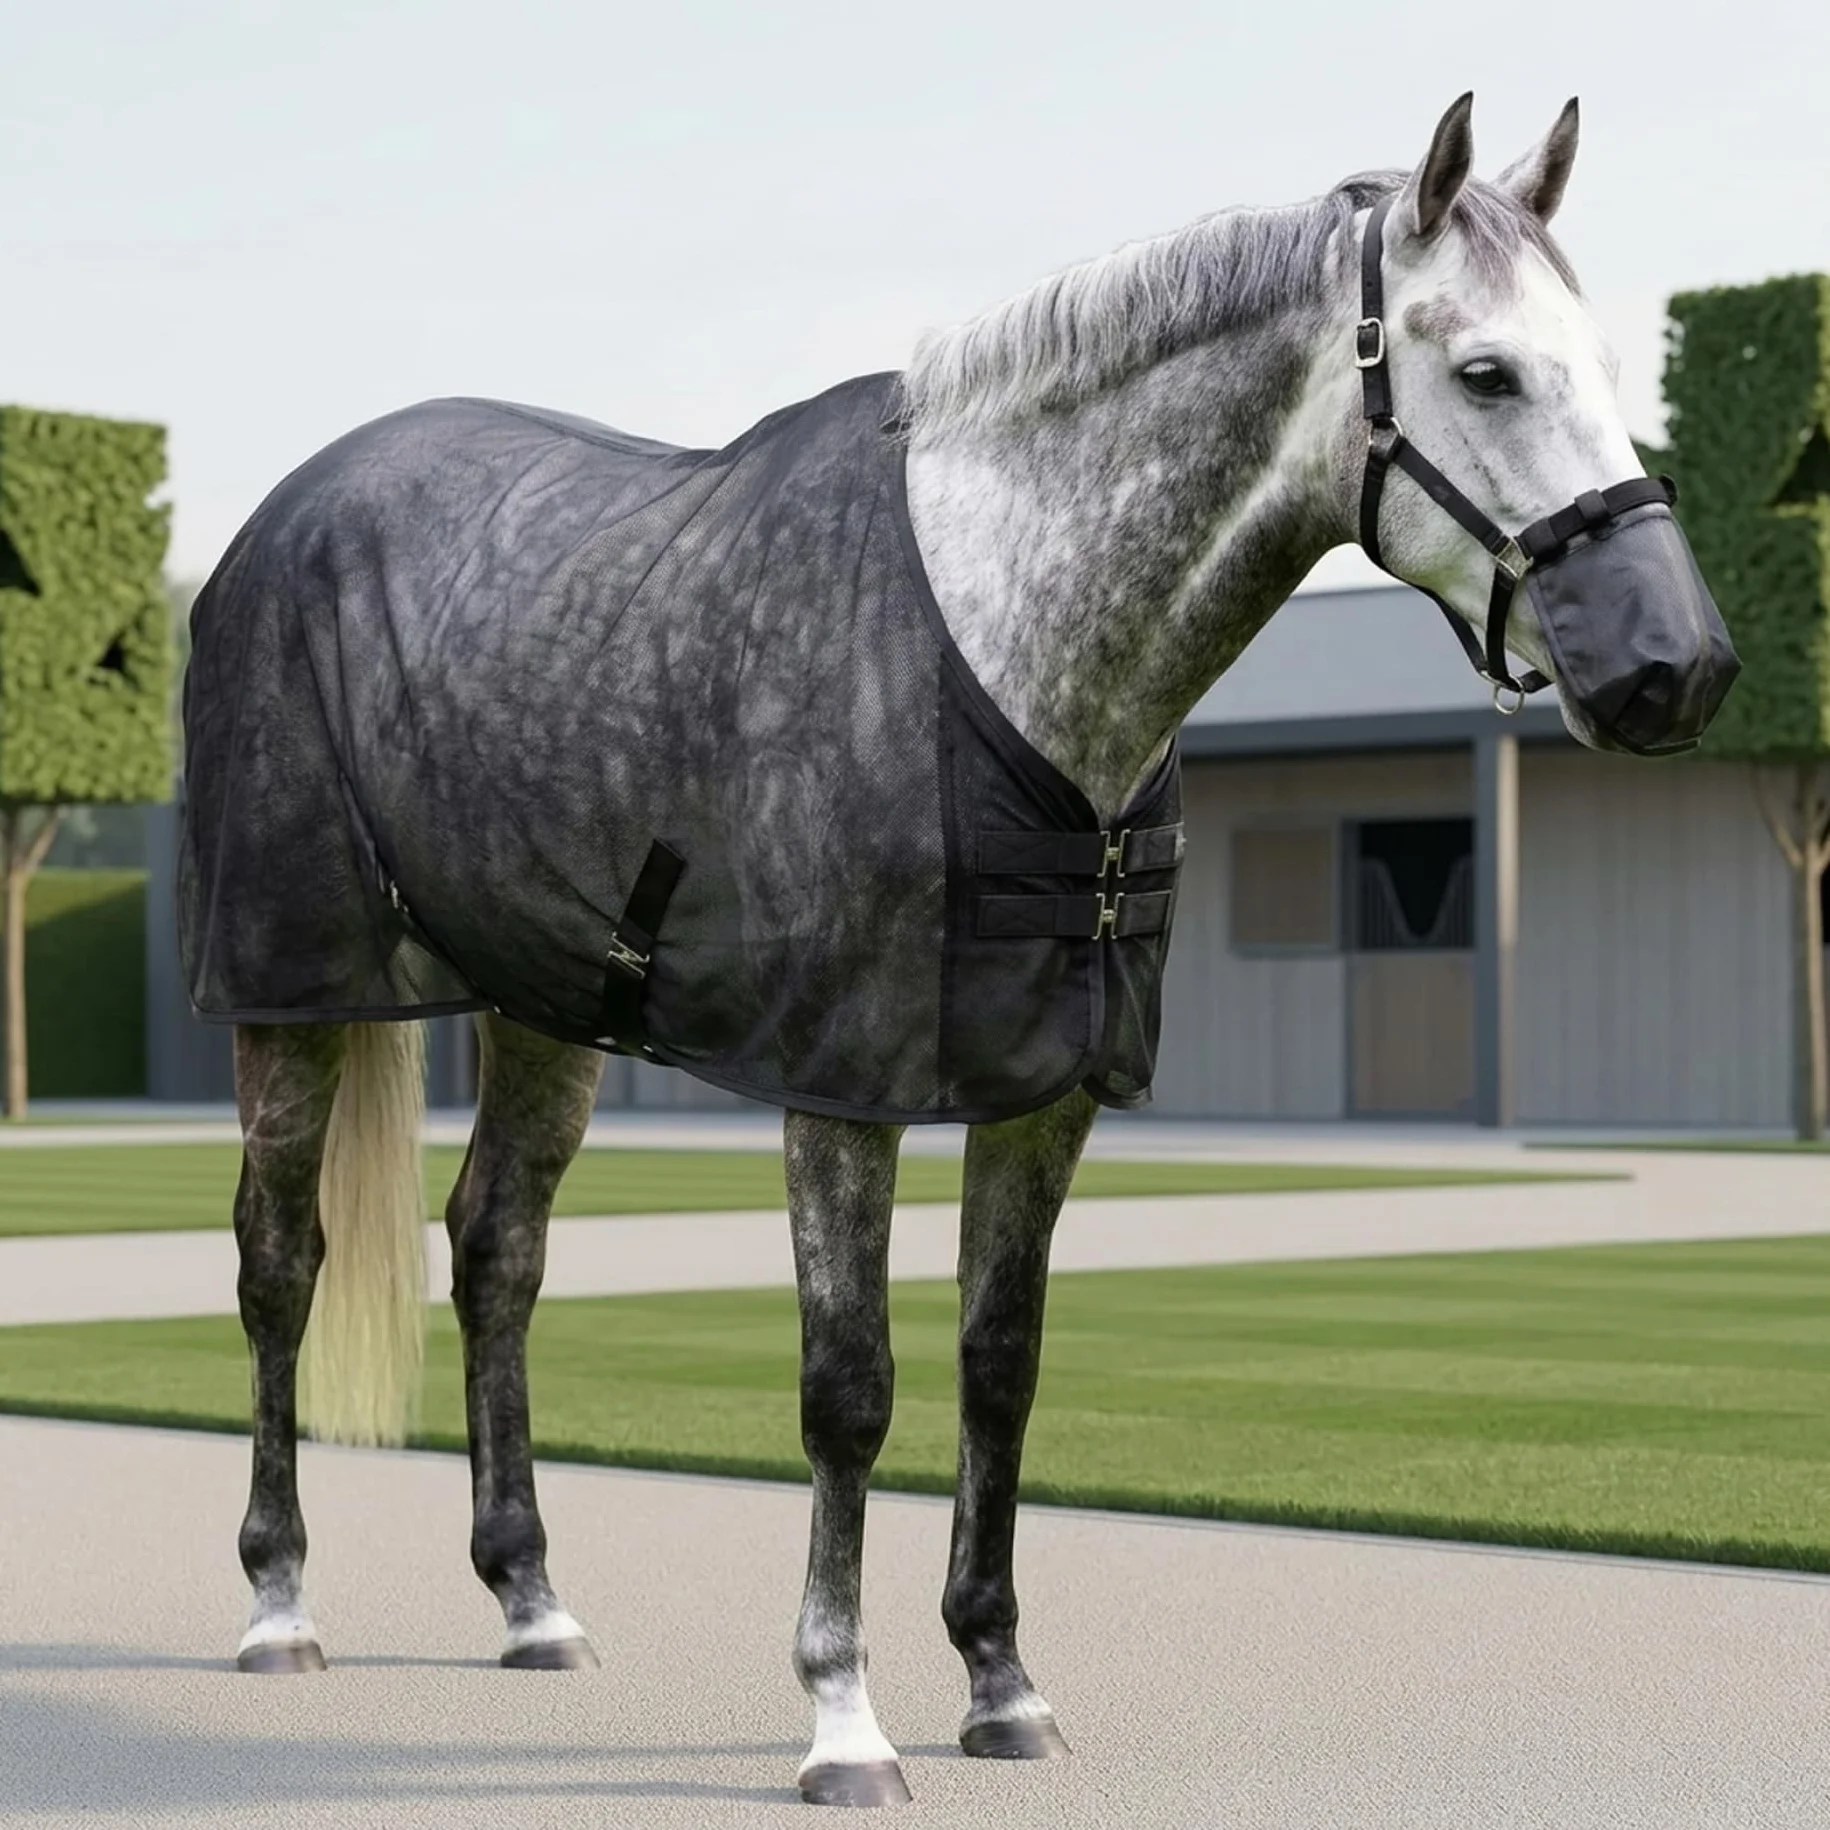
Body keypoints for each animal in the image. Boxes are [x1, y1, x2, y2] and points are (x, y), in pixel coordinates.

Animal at [179, 93, 1737, 1808]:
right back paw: (277, 1602)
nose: (1676, 665)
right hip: (288, 989)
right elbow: (848, 1389)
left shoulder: (1047, 1088)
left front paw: (999, 1684)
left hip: (544, 1005)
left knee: (495, 1250)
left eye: (1603, 360)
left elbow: (1001, 1364)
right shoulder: (841, 1087)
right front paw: (843, 1720)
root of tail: (290, 508)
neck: (1003, 646)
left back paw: (530, 1598)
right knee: (279, 1259)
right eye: (1486, 373)